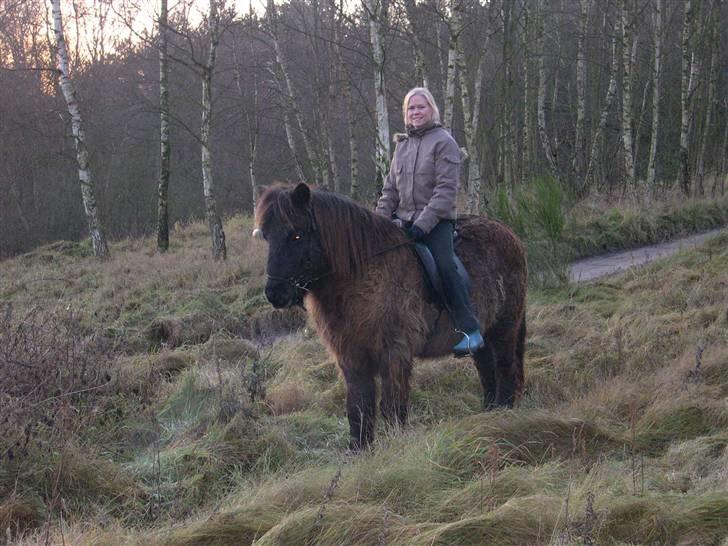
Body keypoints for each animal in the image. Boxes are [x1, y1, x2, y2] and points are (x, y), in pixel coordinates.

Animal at [253, 183, 528, 446]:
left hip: (504, 328)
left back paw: (503, 415)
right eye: (266, 236)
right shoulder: (352, 357)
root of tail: (510, 234)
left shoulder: (394, 353)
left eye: (296, 235)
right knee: (487, 371)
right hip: (483, 336)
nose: (275, 294)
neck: (363, 278)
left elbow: (393, 408)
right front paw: (360, 450)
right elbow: (358, 408)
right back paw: (488, 415)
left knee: (505, 370)